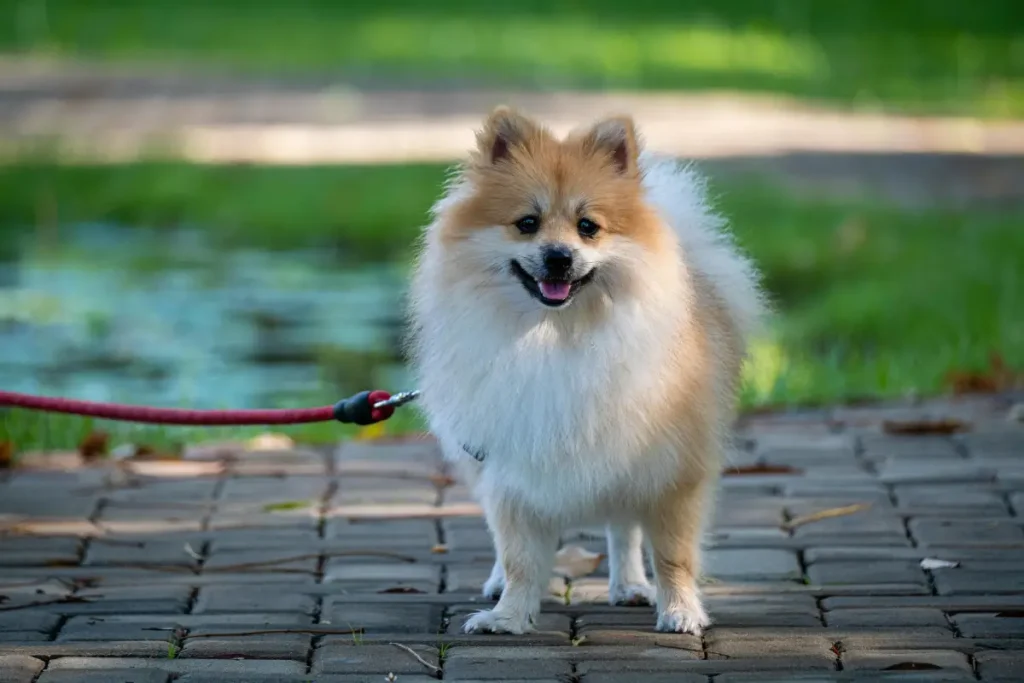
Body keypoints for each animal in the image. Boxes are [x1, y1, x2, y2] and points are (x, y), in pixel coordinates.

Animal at [405, 107, 761, 634]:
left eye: (588, 226)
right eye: (527, 224)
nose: (559, 256)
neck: (558, 334)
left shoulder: (673, 465)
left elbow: (673, 553)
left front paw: (680, 610)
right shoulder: (510, 462)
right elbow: (518, 555)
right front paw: (508, 614)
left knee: (623, 528)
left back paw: (630, 585)